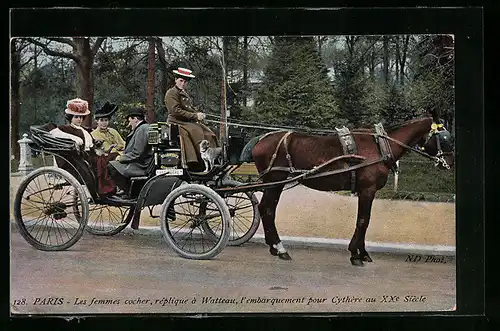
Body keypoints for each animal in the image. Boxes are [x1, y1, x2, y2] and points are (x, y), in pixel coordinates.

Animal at [240, 110, 456, 268]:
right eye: (445, 138)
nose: (450, 163)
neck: (380, 146)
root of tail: (261, 139)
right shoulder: (367, 190)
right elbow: (363, 221)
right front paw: (356, 254)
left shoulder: (366, 191)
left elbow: (364, 221)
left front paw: (363, 253)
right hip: (275, 181)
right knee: (267, 210)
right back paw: (280, 248)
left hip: (275, 183)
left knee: (266, 209)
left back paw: (275, 248)